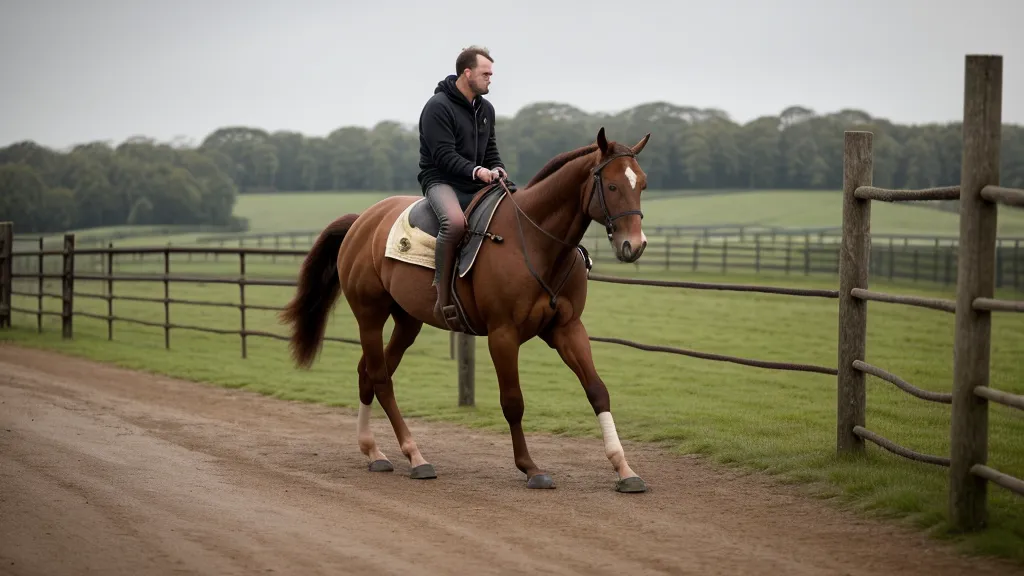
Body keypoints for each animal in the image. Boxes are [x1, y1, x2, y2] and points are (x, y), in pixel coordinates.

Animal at [279, 127, 652, 493]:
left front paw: (624, 468)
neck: (533, 241)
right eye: (612, 186)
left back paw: (374, 451)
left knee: (367, 373)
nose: (634, 245)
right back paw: (415, 457)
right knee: (381, 378)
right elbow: (513, 402)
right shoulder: (503, 336)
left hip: (407, 322)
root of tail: (362, 222)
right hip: (369, 316)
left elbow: (597, 391)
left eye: (642, 184)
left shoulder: (568, 328)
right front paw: (530, 468)